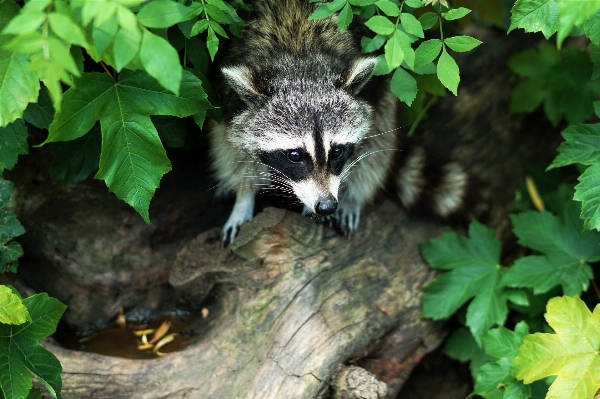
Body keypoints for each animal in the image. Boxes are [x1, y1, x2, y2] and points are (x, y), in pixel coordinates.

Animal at [211, 0, 478, 244]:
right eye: (295, 155)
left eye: (337, 151)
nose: (327, 206)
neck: (299, 57)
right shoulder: (228, 103)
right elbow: (232, 149)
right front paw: (244, 197)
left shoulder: (369, 92)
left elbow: (370, 146)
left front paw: (347, 197)